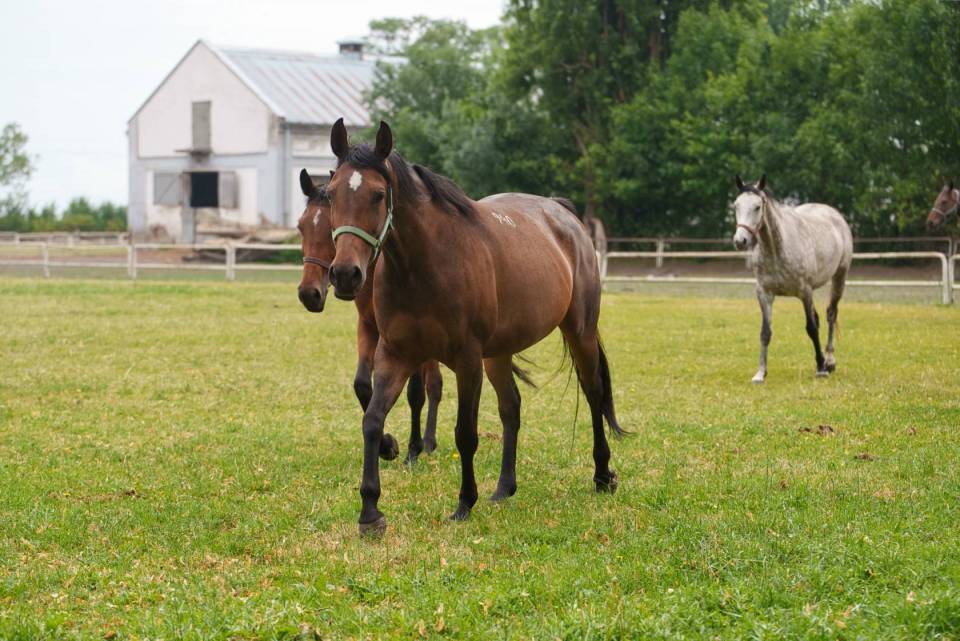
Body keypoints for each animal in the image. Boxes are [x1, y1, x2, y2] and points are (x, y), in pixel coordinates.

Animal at [295, 170, 443, 465]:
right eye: (301, 227)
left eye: (330, 228)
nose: (309, 294)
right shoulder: (367, 327)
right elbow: (363, 385)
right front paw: (387, 446)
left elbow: (414, 394)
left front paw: (411, 450)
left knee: (433, 385)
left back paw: (427, 441)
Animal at [324, 119, 625, 535]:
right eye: (330, 194)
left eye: (378, 194)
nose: (345, 274)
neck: (425, 265)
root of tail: (563, 215)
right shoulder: (395, 354)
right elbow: (371, 420)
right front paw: (371, 510)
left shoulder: (466, 360)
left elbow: (465, 434)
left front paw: (465, 502)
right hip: (498, 354)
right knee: (511, 407)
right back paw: (504, 487)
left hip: (579, 331)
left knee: (593, 393)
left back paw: (601, 474)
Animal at [732, 175, 853, 383]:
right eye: (736, 206)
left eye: (757, 206)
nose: (741, 241)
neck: (777, 249)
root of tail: (835, 215)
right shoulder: (764, 294)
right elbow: (765, 332)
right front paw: (760, 373)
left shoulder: (804, 292)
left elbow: (811, 328)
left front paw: (821, 368)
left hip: (839, 277)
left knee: (831, 314)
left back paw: (829, 361)